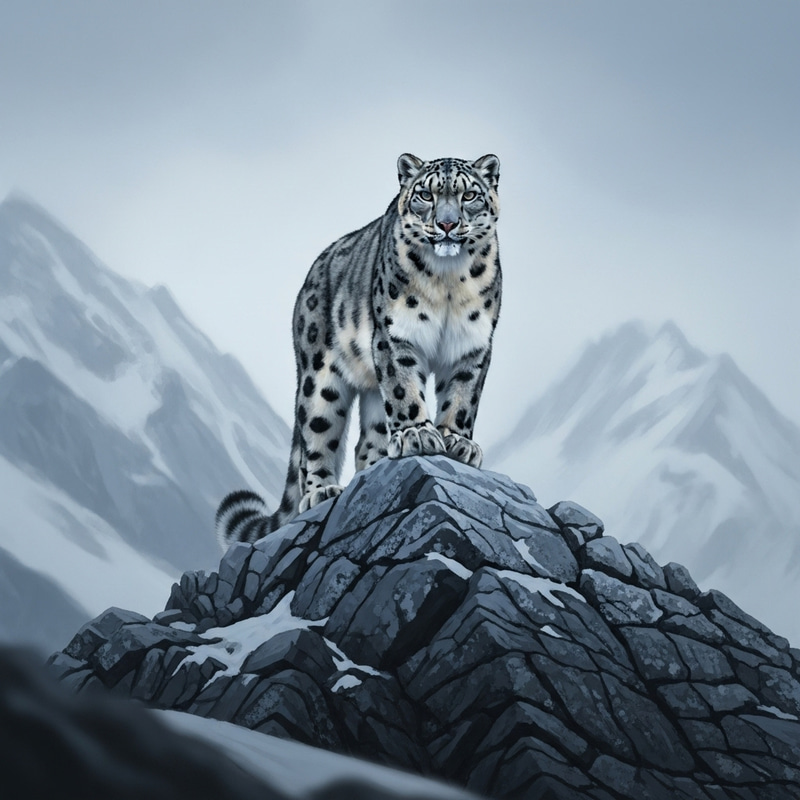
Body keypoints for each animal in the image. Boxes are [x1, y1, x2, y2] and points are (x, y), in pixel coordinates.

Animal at [216, 153, 501, 548]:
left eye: (470, 194)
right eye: (425, 195)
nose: (447, 224)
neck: (448, 280)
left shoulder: (472, 345)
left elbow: (462, 398)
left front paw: (458, 443)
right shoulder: (395, 335)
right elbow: (404, 390)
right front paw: (417, 434)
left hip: (371, 391)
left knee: (367, 440)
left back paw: (376, 466)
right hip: (320, 379)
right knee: (317, 435)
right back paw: (321, 492)